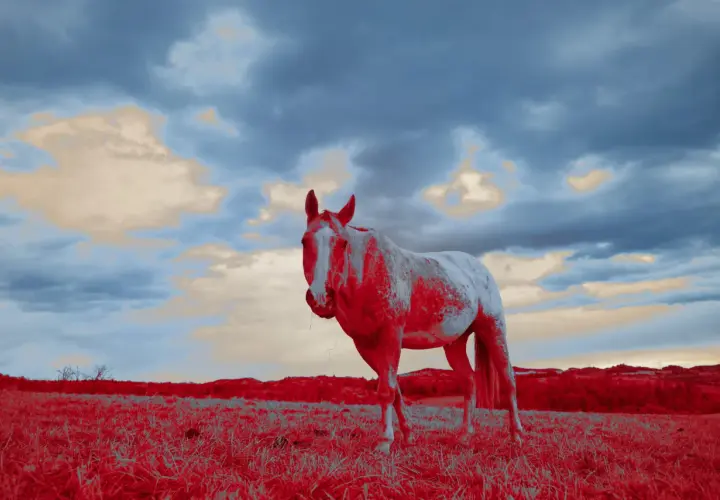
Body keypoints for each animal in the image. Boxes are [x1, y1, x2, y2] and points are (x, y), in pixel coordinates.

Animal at [302, 189, 523, 453]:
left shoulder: (391, 335)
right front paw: (408, 436)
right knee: (470, 382)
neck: (367, 274)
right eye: (304, 241)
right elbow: (394, 389)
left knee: (508, 379)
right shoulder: (365, 344)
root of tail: (481, 268)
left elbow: (387, 390)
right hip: (455, 343)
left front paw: (384, 442)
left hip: (493, 329)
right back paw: (464, 436)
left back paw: (516, 435)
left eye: (343, 243)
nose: (320, 298)